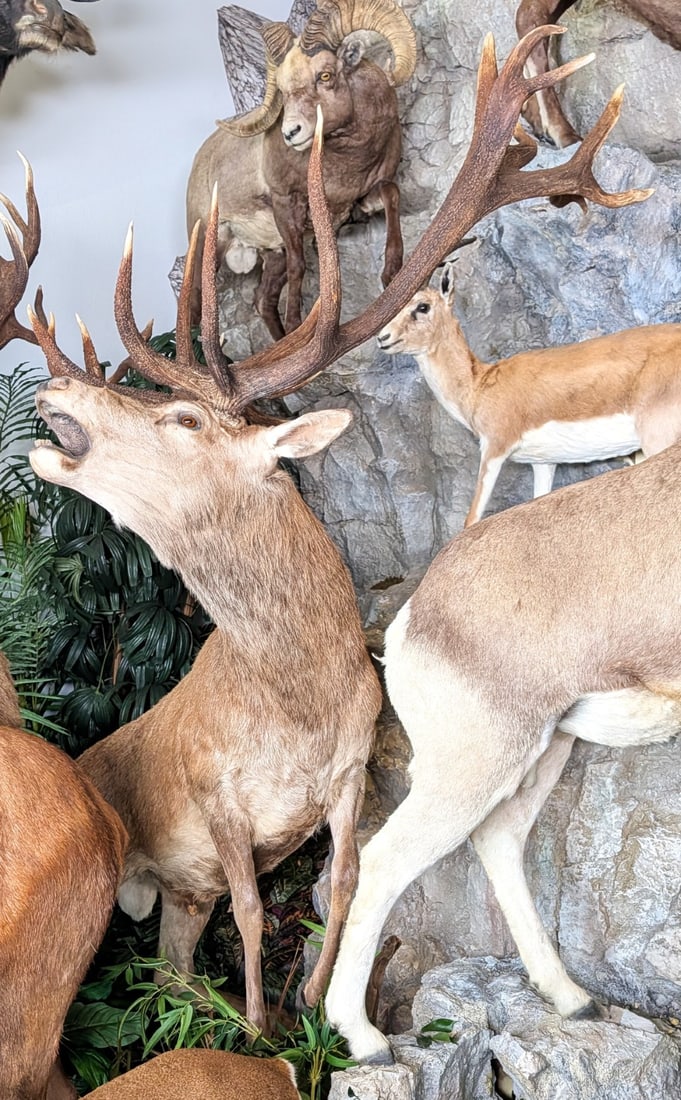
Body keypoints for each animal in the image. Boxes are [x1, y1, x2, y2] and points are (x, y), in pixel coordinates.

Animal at [27, 23, 647, 1041]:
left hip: (174, 897)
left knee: (170, 966)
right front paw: (263, 1033)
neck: (297, 706)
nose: (52, 391)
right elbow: (254, 909)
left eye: (181, 419)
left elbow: (343, 878)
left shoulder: (350, 775)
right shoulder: (214, 797)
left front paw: (315, 1012)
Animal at [377, 260, 681, 526]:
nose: (383, 338)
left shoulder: (494, 448)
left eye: (422, 306)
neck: (479, 385)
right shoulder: (544, 462)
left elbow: (471, 519)